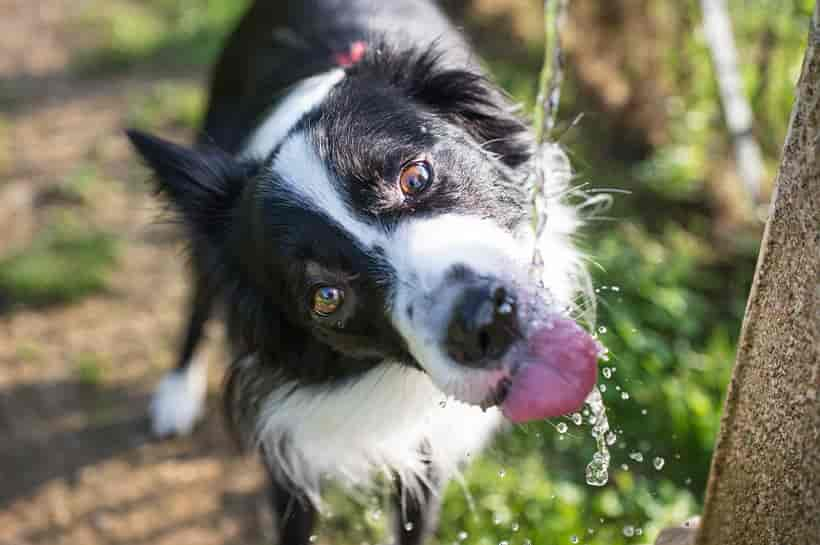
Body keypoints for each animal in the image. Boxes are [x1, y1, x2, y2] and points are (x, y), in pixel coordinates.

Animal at [130, 2, 596, 540]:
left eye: (415, 176)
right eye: (325, 297)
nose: (486, 322)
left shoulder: (427, 454)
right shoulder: (289, 447)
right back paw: (177, 393)